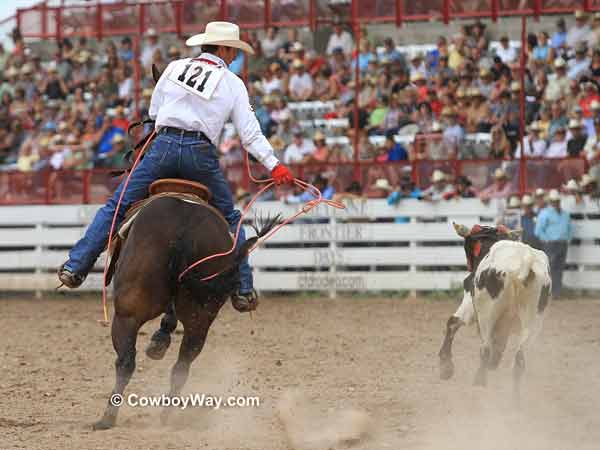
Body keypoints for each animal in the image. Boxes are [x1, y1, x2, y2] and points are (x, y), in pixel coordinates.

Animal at [94, 197, 278, 428]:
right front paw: (159, 342)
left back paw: (107, 417)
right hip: (200, 317)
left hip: (127, 313)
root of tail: (186, 225)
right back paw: (165, 413)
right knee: (182, 365)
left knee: (126, 361)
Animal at [438, 223, 552, 402]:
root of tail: (525, 260)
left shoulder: (470, 302)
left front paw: (445, 365)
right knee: (519, 359)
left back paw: (479, 384)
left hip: (487, 314)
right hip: (533, 323)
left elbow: (453, 321)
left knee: (485, 350)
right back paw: (514, 400)